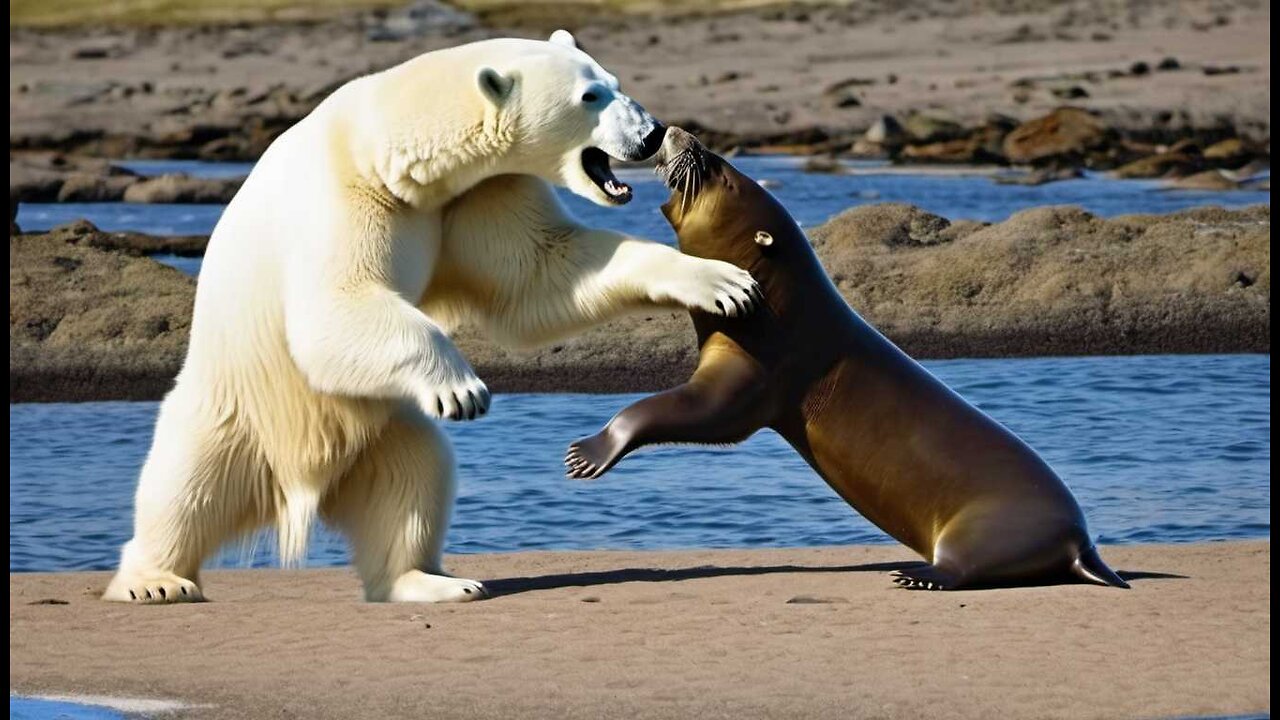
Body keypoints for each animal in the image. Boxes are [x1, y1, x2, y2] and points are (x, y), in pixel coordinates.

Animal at [104, 30, 757, 599]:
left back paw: (433, 581)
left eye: (614, 82)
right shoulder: (345, 199)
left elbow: (541, 273)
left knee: (415, 482)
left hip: (382, 431)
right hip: (232, 411)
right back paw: (155, 580)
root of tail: (303, 486)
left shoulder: (473, 196)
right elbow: (333, 307)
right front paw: (463, 390)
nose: (652, 134)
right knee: (180, 488)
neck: (391, 152)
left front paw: (721, 281)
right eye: (589, 96)